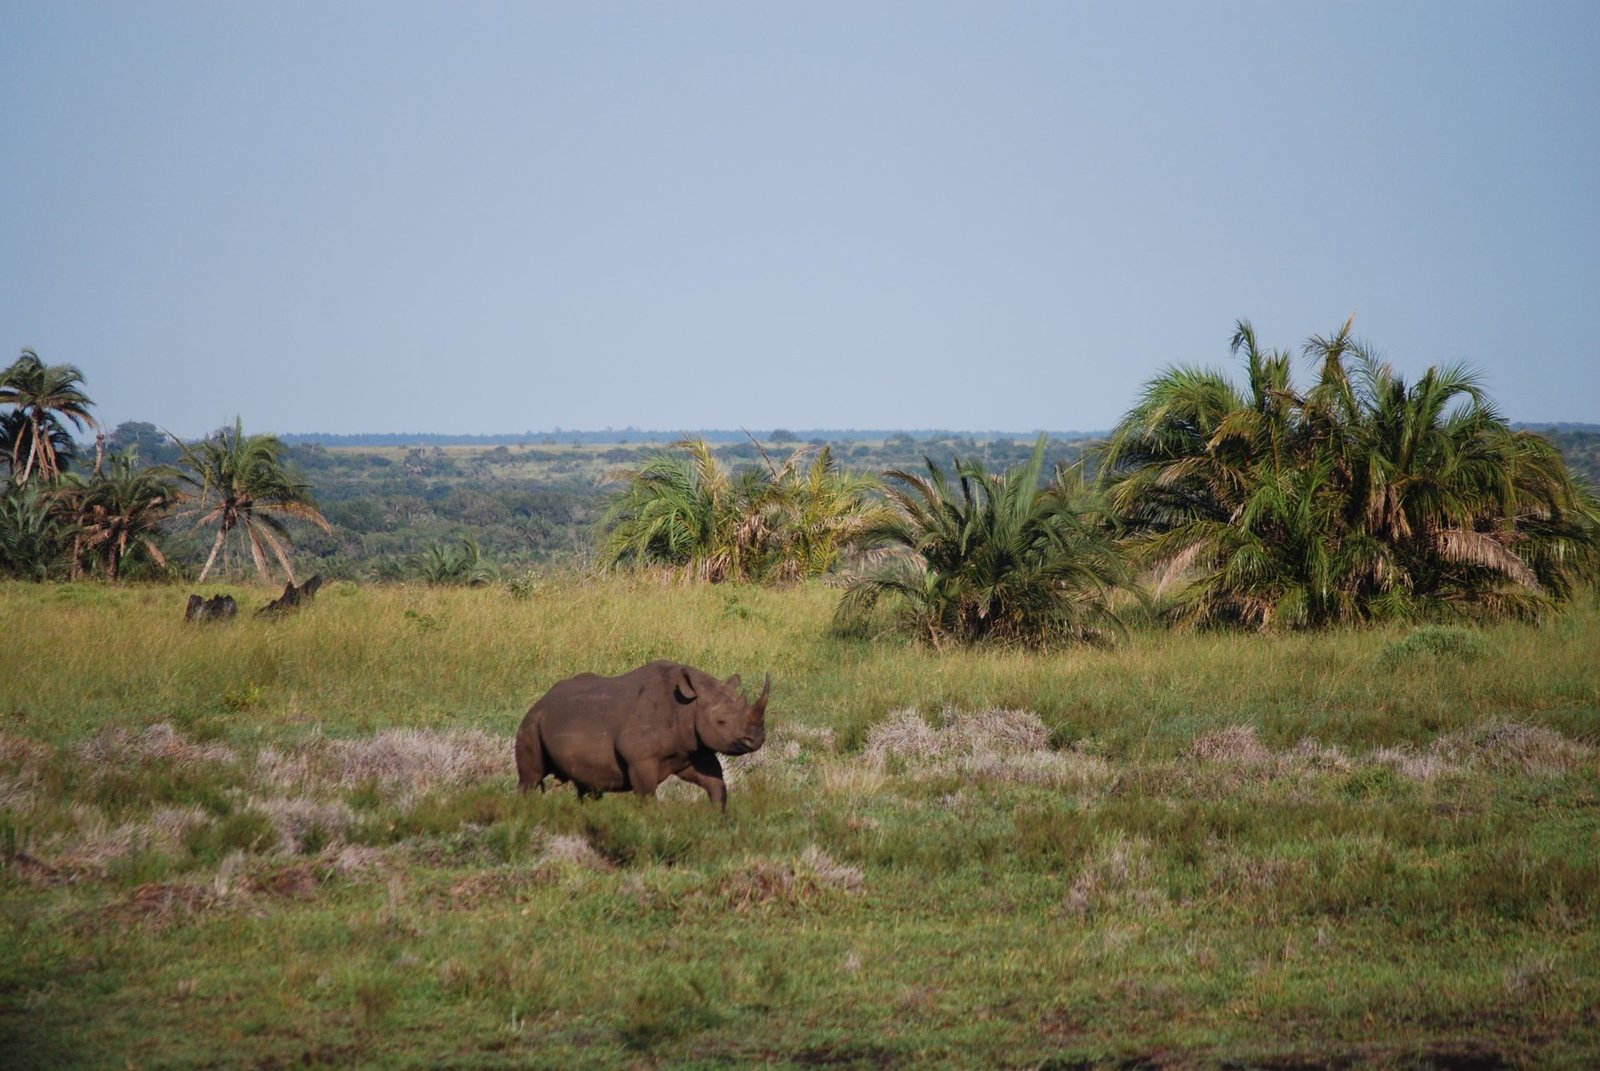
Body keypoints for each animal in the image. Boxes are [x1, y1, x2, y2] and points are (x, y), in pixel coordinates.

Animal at [515, 661, 770, 811]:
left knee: (587, 786)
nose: (756, 739)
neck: (688, 707)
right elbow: (647, 796)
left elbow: (716, 784)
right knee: (531, 778)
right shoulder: (640, 759)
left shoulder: (693, 750)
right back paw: (525, 812)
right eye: (721, 722)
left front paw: (718, 819)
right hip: (531, 724)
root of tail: (540, 701)